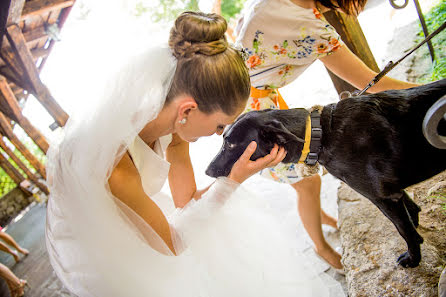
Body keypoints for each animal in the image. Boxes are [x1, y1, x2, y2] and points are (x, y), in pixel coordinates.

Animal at [206, 78, 446, 266]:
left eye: (230, 144)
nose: (207, 171)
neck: (322, 134)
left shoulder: (384, 196)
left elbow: (404, 230)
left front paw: (413, 259)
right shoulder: (393, 192)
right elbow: (411, 213)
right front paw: (418, 236)